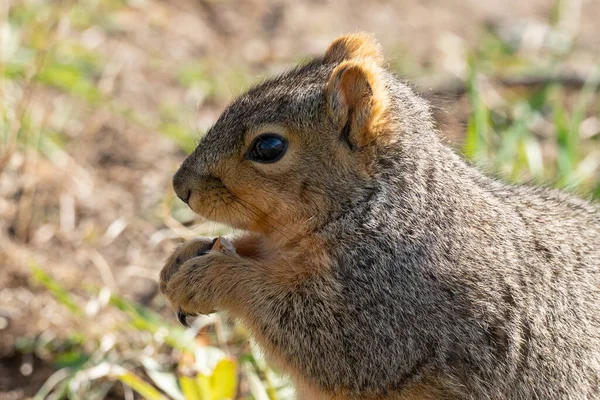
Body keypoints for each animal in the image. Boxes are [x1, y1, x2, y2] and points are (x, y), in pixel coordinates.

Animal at [159, 32, 600, 398]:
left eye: (268, 147)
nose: (181, 187)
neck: (377, 206)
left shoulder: (392, 301)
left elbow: (331, 344)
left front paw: (214, 276)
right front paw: (185, 255)